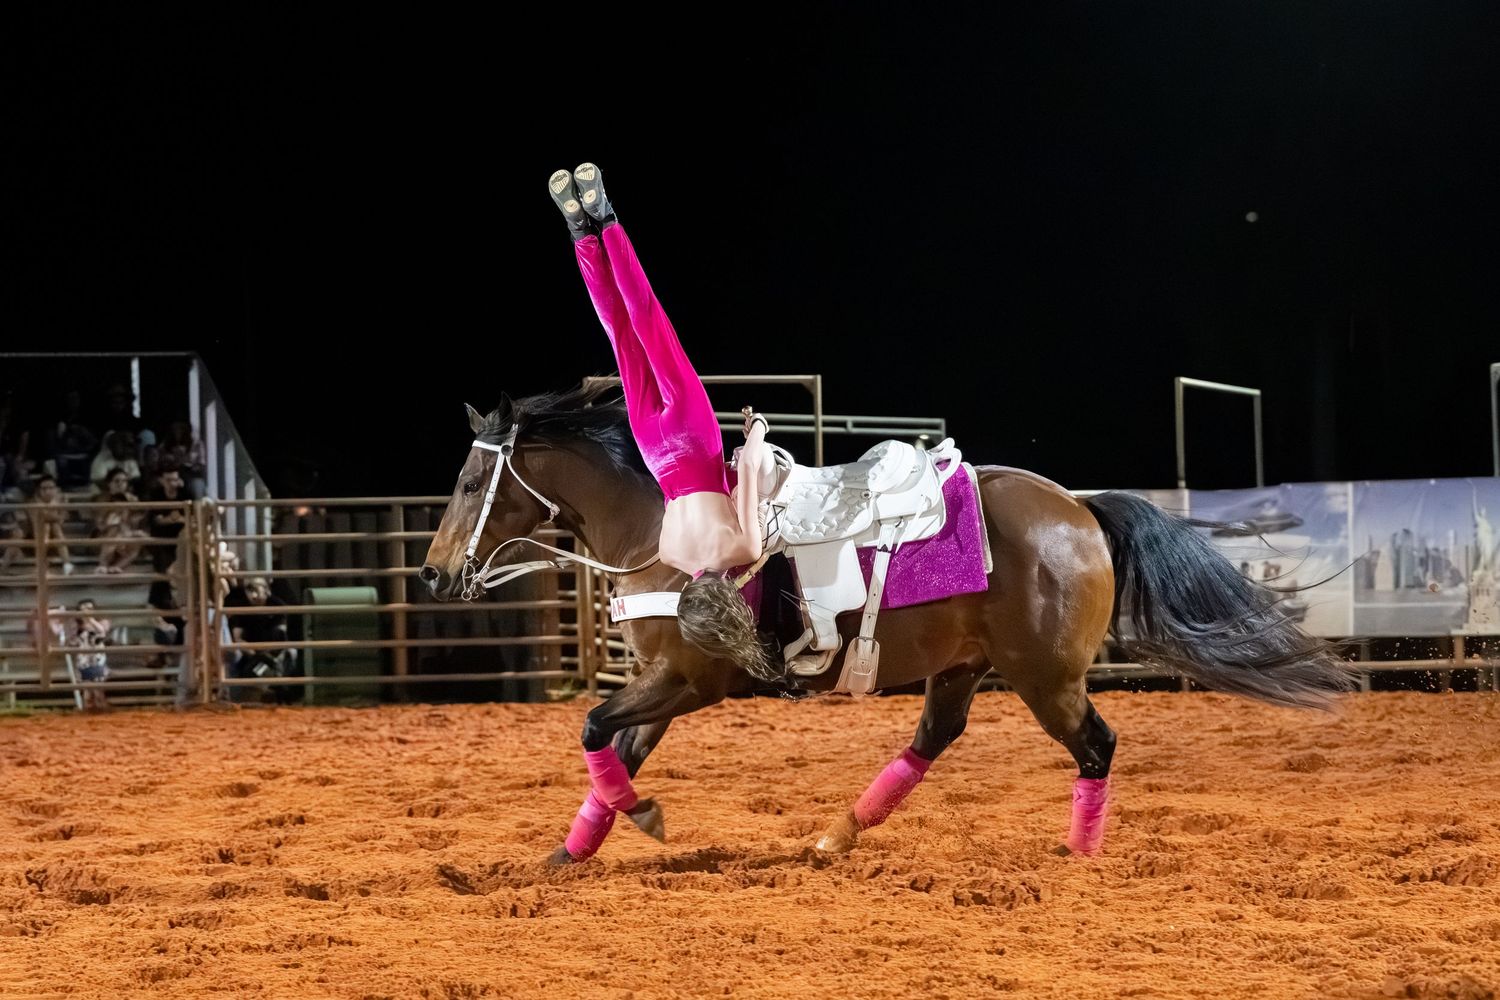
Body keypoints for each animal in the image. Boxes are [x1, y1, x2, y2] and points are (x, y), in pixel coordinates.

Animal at [419, 382, 1353, 863]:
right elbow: (616, 747)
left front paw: (631, 822)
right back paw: (837, 835)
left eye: (468, 482)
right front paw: (566, 855)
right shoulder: (666, 682)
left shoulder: (690, 680)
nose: (431, 570)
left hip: (1047, 678)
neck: (669, 525)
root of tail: (1082, 510)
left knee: (1096, 746)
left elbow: (593, 727)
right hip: (962, 667)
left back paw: (1079, 855)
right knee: (932, 741)